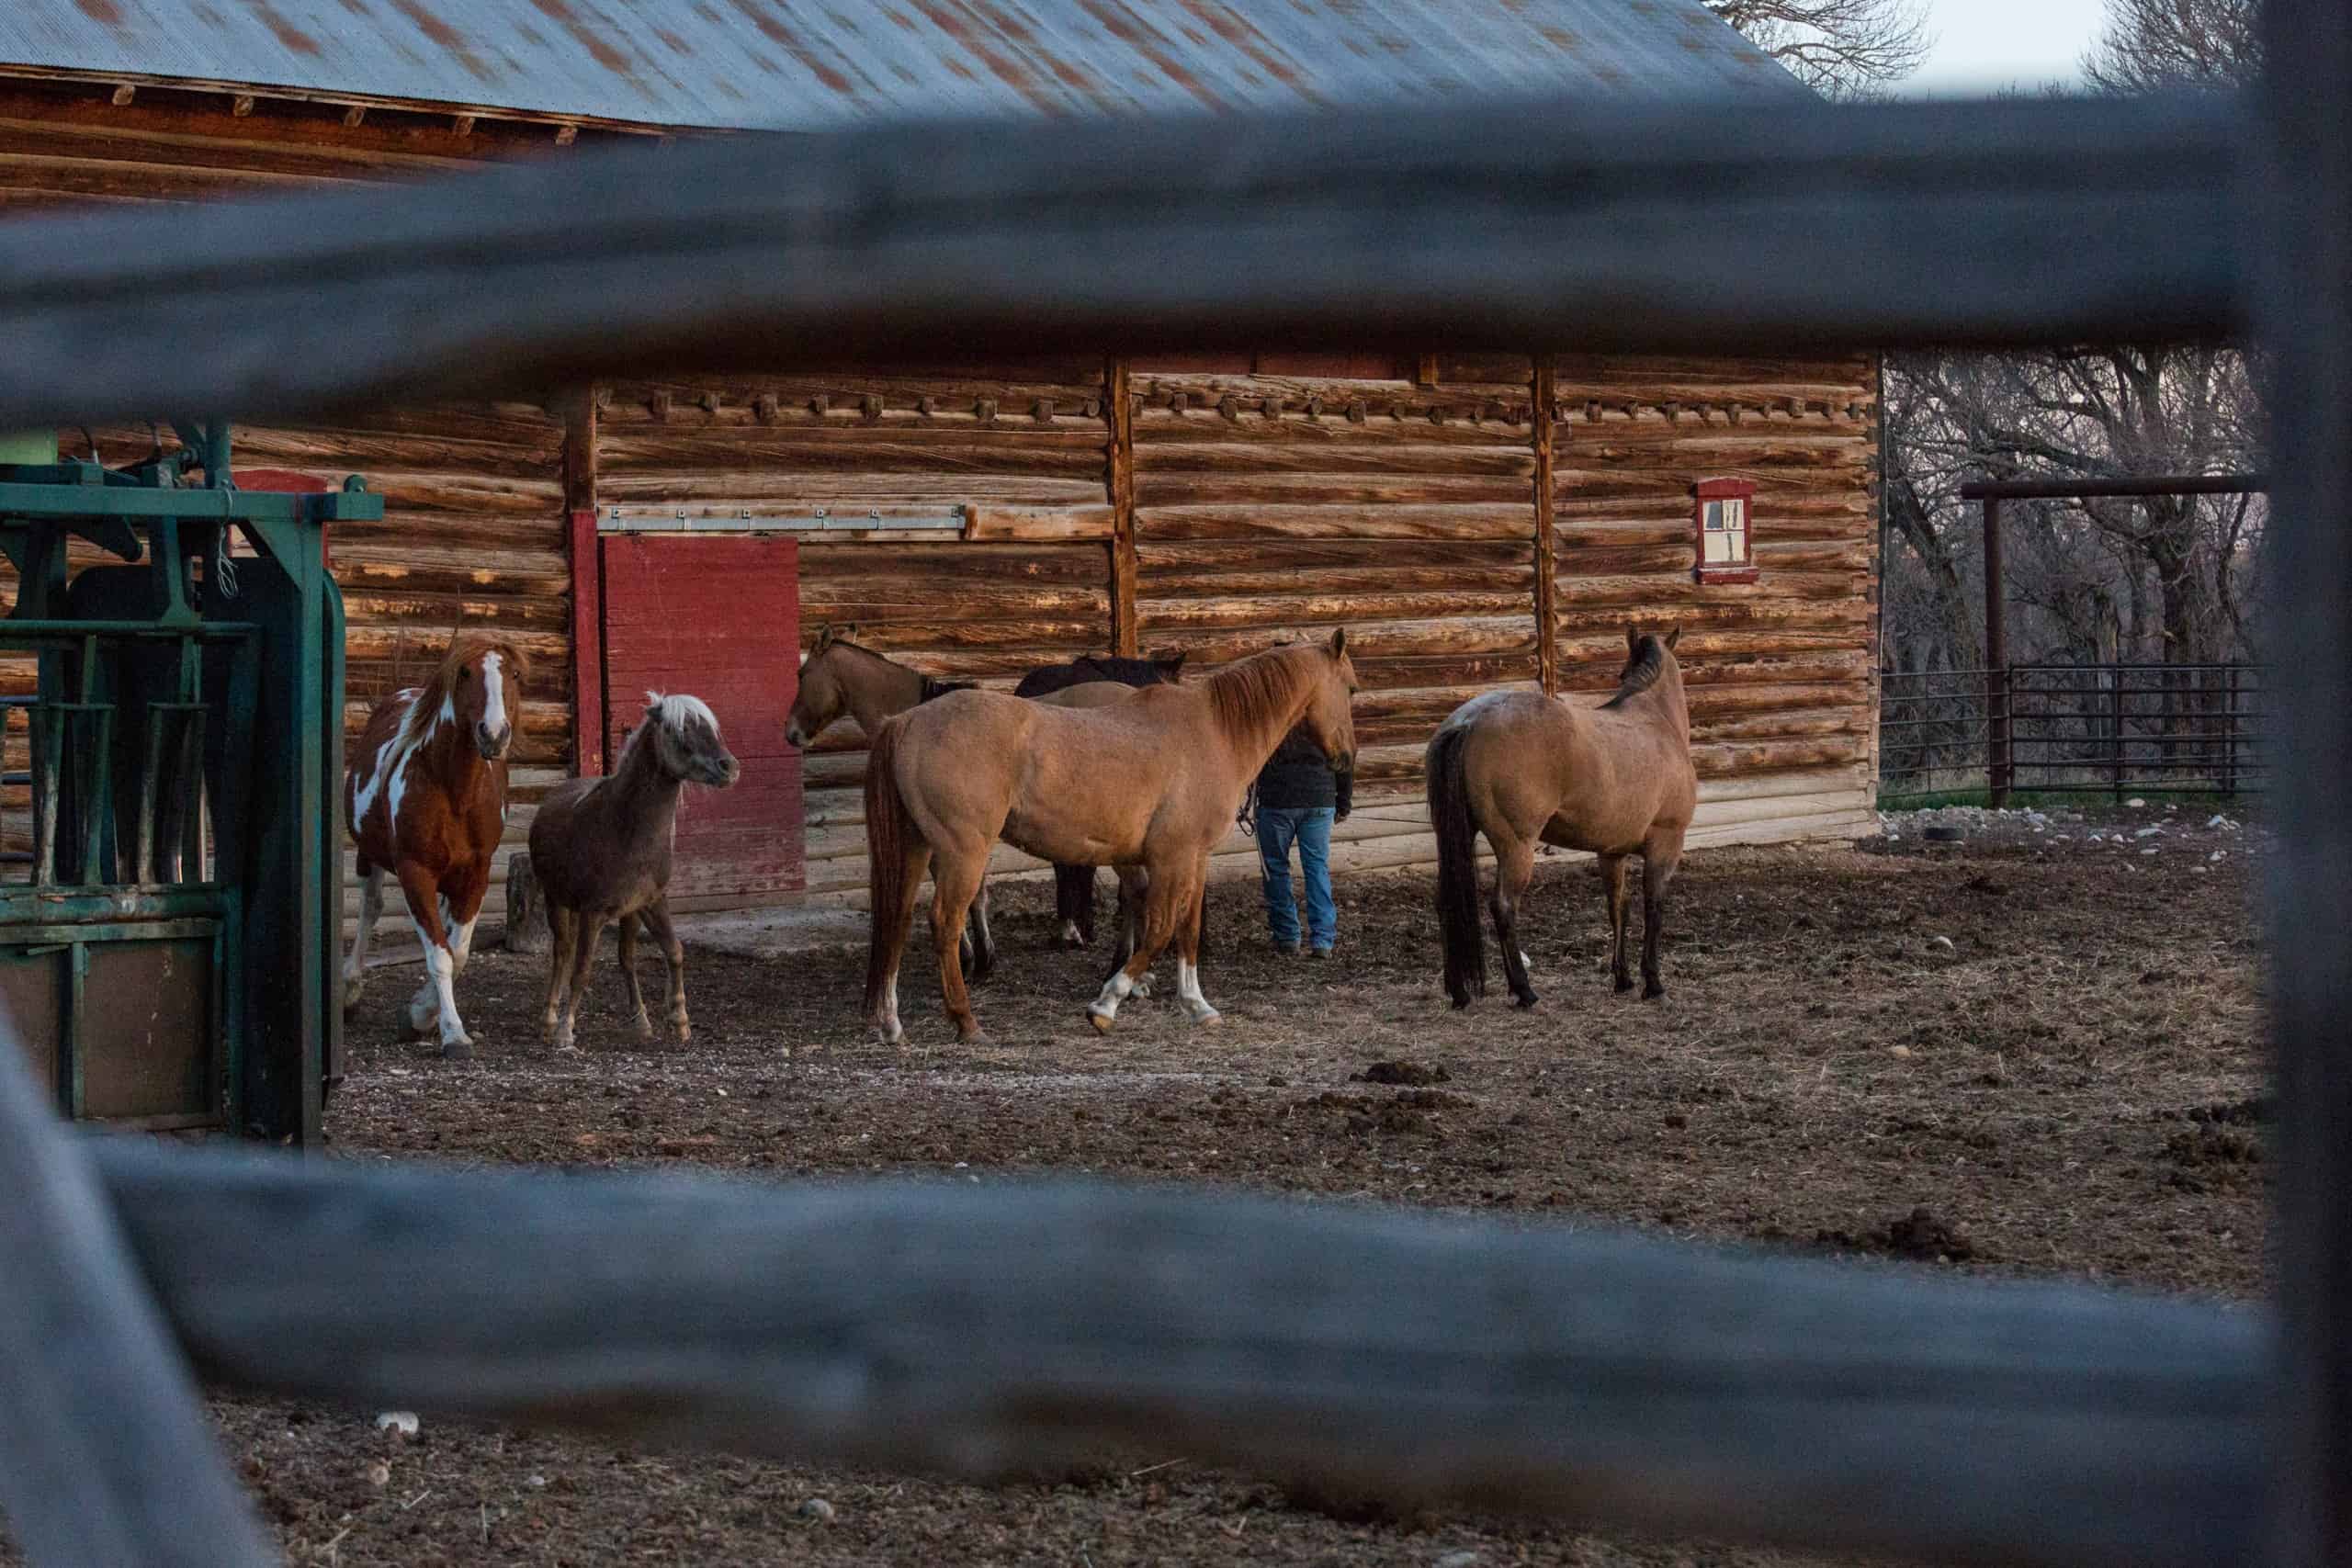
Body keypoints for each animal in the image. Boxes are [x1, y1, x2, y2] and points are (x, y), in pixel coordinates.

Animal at [342, 631, 527, 1057]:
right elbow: (439, 955)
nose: (493, 734)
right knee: (370, 908)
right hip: (368, 855)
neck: (453, 790)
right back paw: (350, 991)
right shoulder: (416, 873)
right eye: (465, 673)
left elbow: (456, 953)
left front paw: (420, 1015)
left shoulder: (476, 874)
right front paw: (452, 1033)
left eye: (512, 674)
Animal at [527, 693, 739, 1051]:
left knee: (625, 958)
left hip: (627, 914)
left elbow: (674, 952)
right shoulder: (593, 912)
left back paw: (641, 1021)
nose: (729, 767)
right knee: (562, 954)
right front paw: (566, 1031)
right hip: (556, 901)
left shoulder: (651, 903)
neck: (623, 828)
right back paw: (549, 1020)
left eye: (711, 727)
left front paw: (680, 1022)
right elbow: (582, 970)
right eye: (678, 729)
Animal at [1426, 625, 1695, 1010]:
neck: (1655, 720)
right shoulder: (1665, 845)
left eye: (1620, 673)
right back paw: (1524, 991)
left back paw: (1460, 992)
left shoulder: (1611, 853)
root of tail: (1469, 721)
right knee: (1504, 906)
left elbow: (1619, 908)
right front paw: (1653, 983)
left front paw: (1623, 978)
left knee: (1445, 903)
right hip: (1517, 846)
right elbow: (1653, 910)